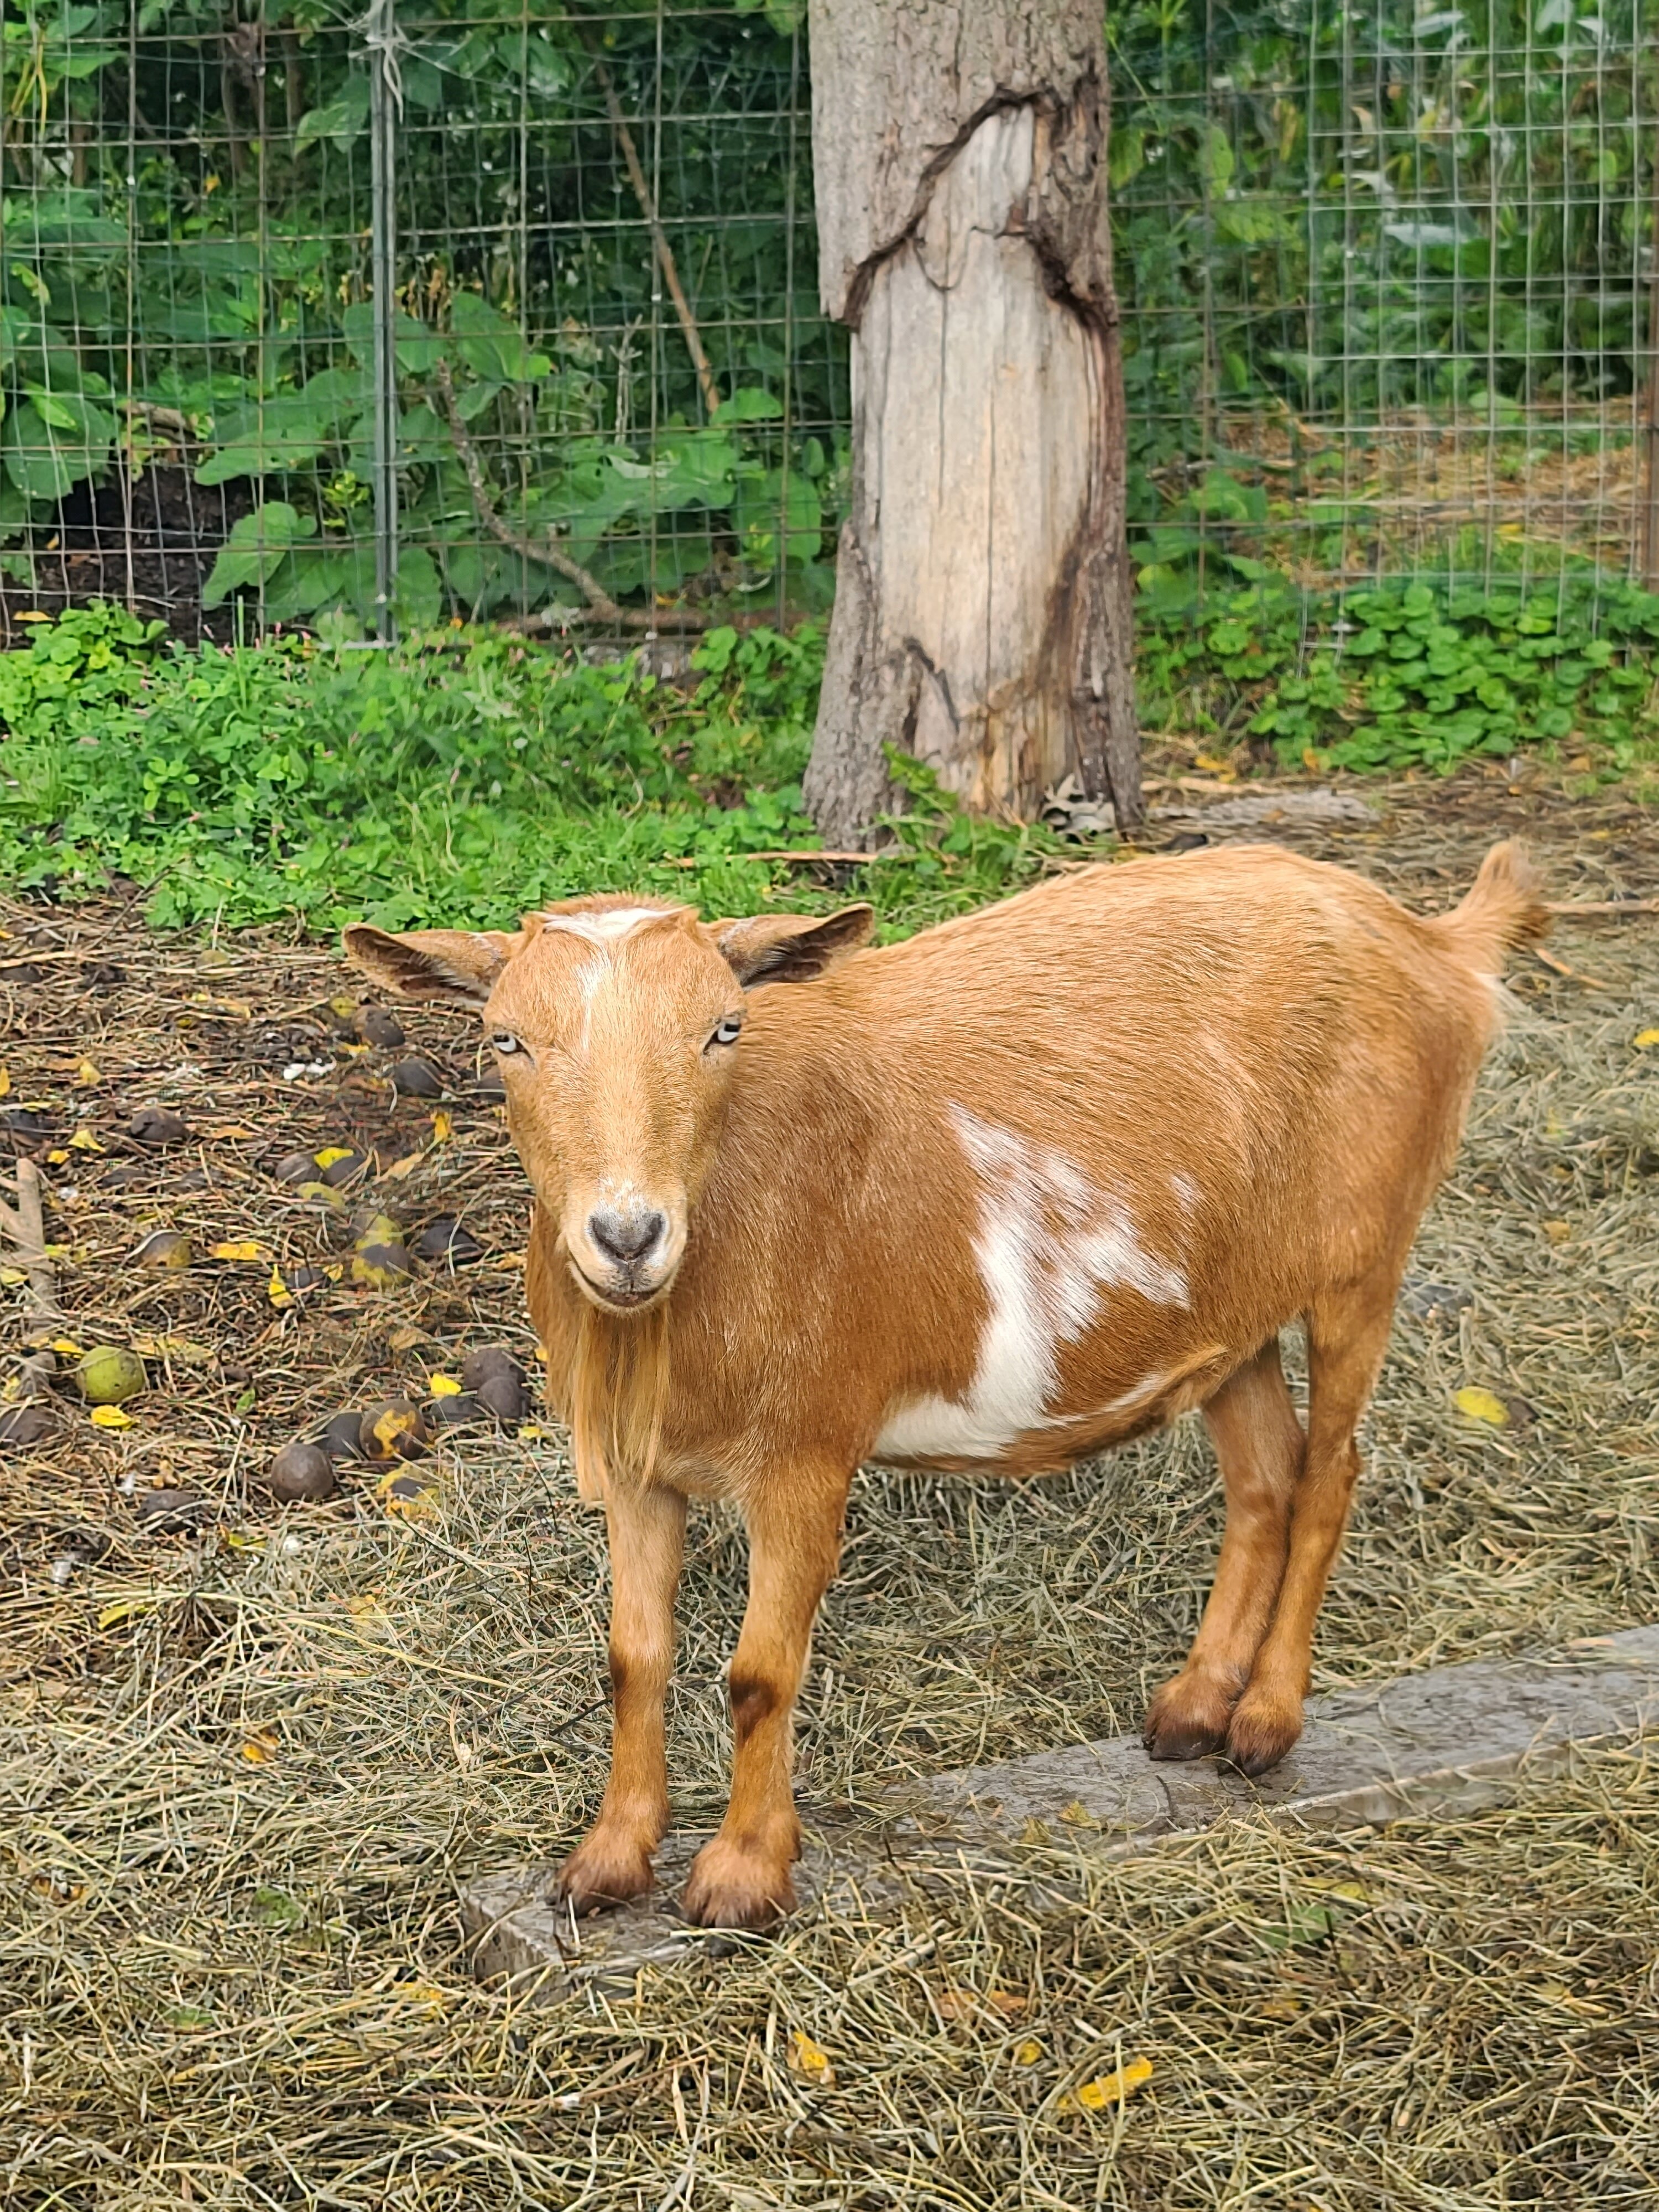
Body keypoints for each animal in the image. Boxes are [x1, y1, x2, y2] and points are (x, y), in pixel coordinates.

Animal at [346, 838, 1547, 1929]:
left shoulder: (808, 1453)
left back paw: (1267, 1723)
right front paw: (604, 1864)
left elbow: (759, 1672)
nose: (628, 1236)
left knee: (1334, 1471)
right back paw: (1195, 1709)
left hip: (1363, 1260)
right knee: (1265, 1480)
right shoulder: (639, 1465)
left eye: (724, 1027)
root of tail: (1435, 945)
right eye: (506, 1038)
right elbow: (633, 1660)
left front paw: (743, 1877)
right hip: (1227, 1314)